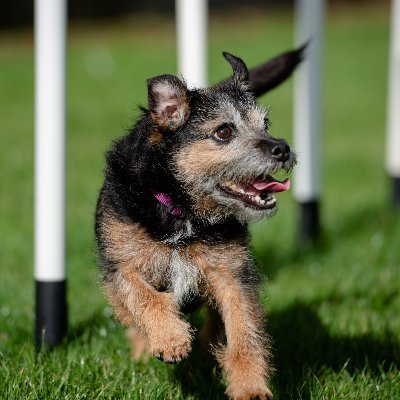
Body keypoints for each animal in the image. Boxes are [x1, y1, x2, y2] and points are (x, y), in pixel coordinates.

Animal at [95, 53, 296, 400]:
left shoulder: (232, 275)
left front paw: (250, 387)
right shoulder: (120, 267)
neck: (183, 211)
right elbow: (144, 296)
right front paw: (170, 339)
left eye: (266, 125)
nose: (281, 148)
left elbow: (244, 334)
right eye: (224, 132)